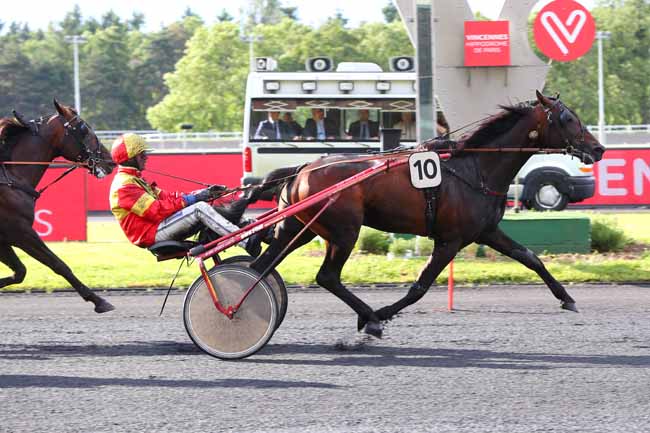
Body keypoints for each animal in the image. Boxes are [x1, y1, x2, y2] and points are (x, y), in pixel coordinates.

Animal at [0, 100, 116, 313]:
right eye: (84, 129)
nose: (109, 160)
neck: (10, 178)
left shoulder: (4, 238)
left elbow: (20, 272)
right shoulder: (21, 231)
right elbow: (57, 264)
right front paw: (98, 300)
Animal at [249, 91, 606, 338]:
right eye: (567, 119)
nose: (599, 149)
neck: (476, 168)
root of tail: (303, 168)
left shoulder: (487, 231)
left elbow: (531, 257)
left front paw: (566, 297)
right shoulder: (451, 240)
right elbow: (420, 286)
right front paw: (382, 313)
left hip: (301, 227)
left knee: (262, 266)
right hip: (343, 232)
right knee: (327, 276)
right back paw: (370, 316)